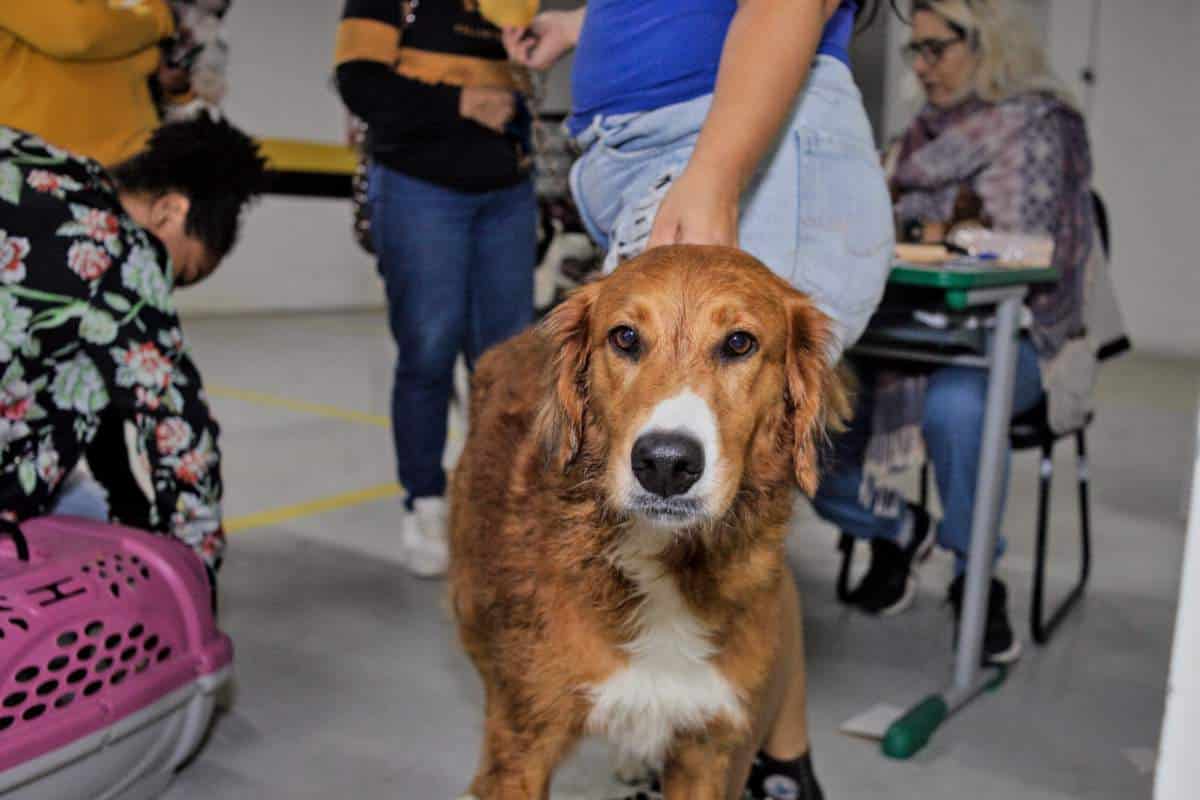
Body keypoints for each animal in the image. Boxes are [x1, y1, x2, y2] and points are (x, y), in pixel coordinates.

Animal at [448, 245, 844, 800]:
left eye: (739, 343)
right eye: (625, 338)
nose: (665, 464)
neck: (663, 562)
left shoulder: (708, 749)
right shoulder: (520, 747)